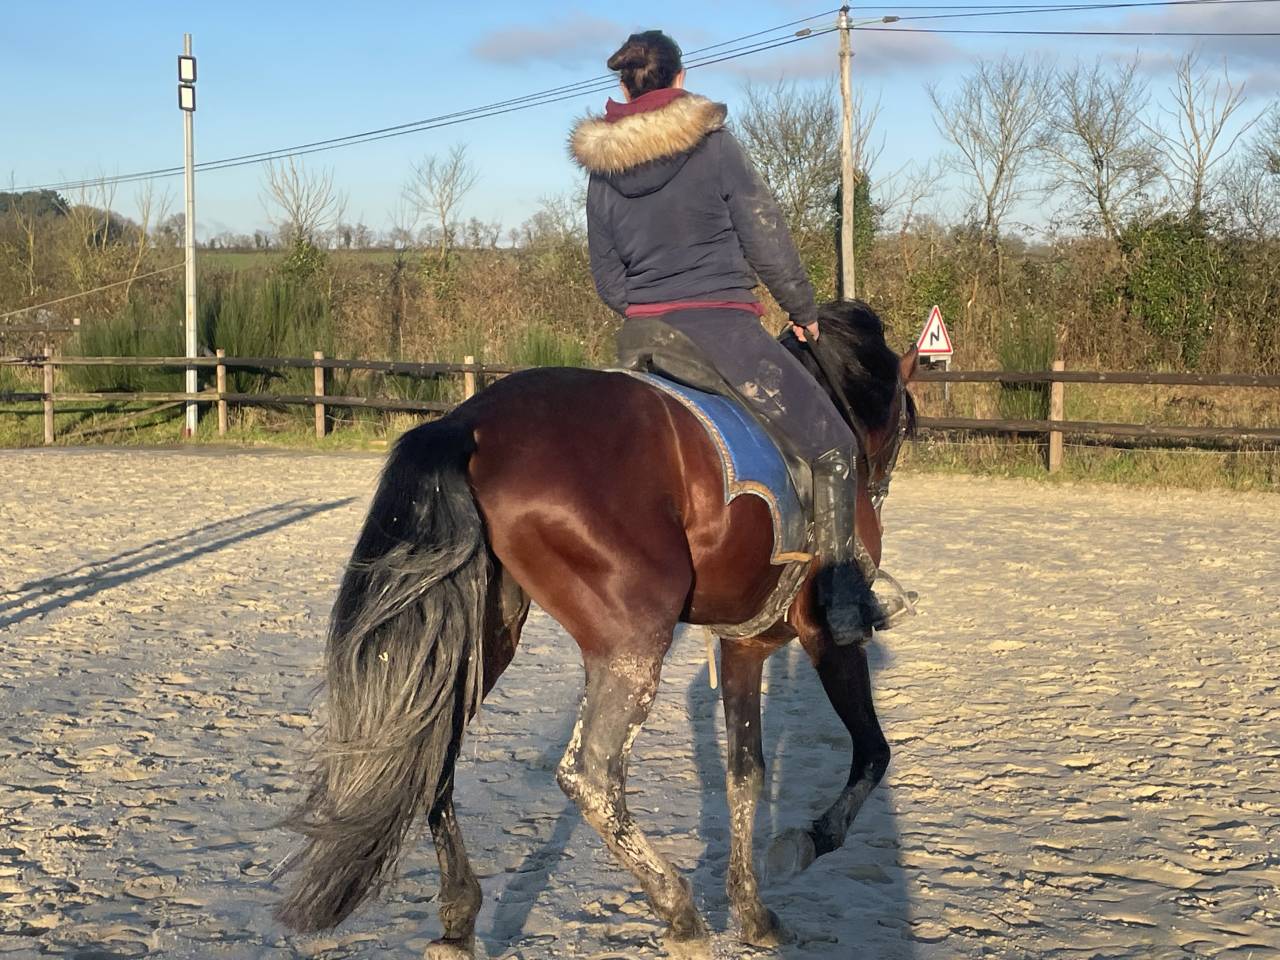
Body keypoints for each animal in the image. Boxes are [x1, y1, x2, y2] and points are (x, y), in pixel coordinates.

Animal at [275, 299, 918, 957]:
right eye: (906, 420)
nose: (880, 485)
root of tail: (470, 423)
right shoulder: (826, 635)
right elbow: (873, 752)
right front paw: (802, 846)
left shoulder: (743, 646)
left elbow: (746, 775)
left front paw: (754, 912)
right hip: (633, 641)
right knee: (592, 777)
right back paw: (680, 915)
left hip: (482, 642)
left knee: (434, 751)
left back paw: (458, 920)